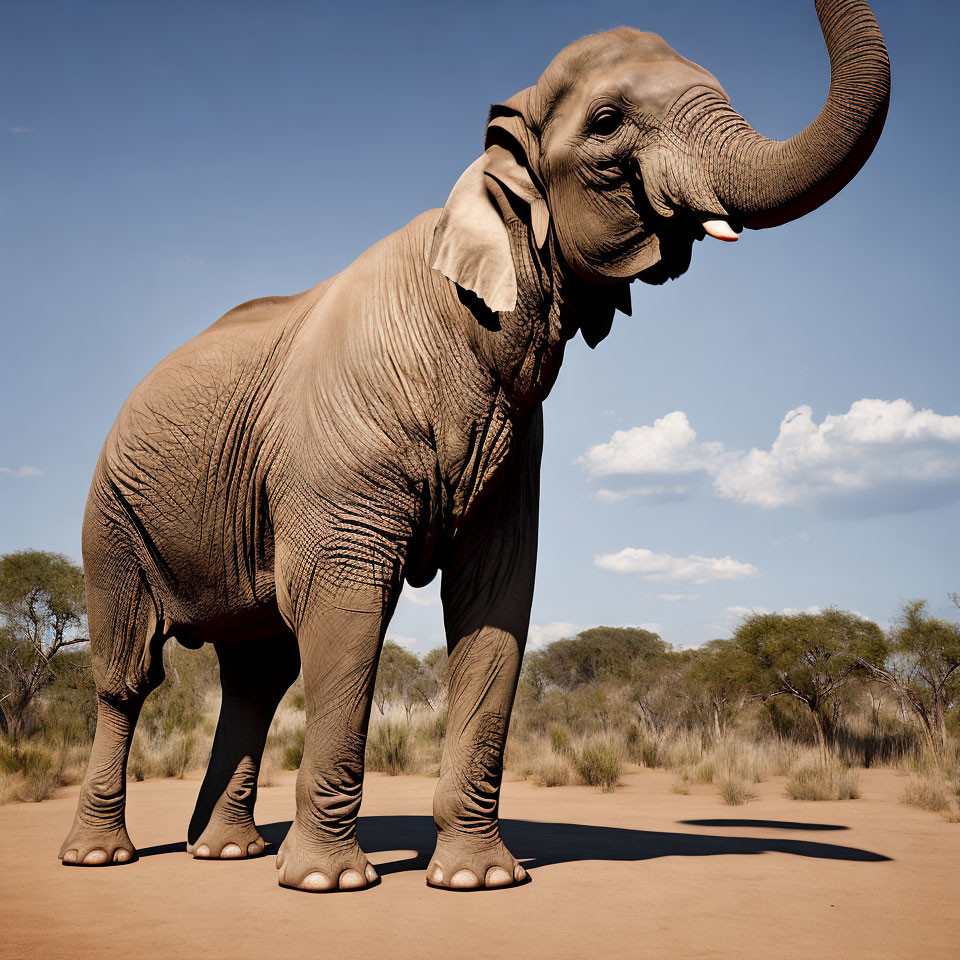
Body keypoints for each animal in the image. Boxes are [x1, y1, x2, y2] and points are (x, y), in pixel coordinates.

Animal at [58, 0, 884, 892]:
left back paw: (226, 852)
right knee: (129, 676)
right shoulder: (341, 455)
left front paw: (477, 880)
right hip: (112, 514)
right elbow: (344, 604)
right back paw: (101, 855)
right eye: (606, 123)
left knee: (257, 673)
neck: (489, 187)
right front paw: (331, 885)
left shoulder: (514, 434)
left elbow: (493, 600)